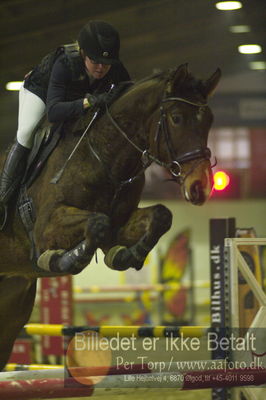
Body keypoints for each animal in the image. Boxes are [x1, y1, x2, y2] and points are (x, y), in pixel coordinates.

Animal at [0, 64, 220, 368]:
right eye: (176, 118)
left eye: (209, 120)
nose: (200, 187)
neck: (104, 157)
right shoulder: (46, 228)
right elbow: (96, 223)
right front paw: (63, 259)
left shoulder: (121, 223)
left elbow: (160, 216)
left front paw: (126, 255)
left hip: (11, 305)